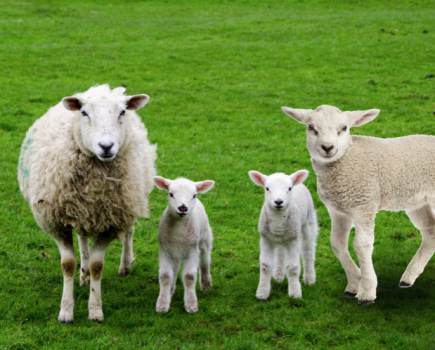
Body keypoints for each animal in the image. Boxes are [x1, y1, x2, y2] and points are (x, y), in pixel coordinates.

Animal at [17, 83, 157, 322]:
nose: (106, 146)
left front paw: (95, 310)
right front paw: (66, 310)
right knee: (82, 238)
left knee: (128, 232)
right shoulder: (57, 222)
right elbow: (67, 265)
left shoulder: (112, 222)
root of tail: (102, 88)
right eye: (84, 113)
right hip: (80, 211)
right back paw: (83, 275)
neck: (94, 187)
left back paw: (125, 265)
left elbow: (97, 265)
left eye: (122, 112)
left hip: (131, 201)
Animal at [153, 176, 215, 314]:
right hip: (175, 252)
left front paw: (191, 305)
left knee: (205, 261)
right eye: (171, 194)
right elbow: (166, 276)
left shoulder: (192, 251)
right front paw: (162, 304)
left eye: (194, 195)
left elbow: (189, 277)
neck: (179, 234)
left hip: (204, 239)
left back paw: (206, 284)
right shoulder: (165, 250)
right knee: (175, 268)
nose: (182, 208)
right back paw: (171, 290)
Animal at [249, 171, 320, 300]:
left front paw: (295, 293)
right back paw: (278, 275)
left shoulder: (293, 240)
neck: (278, 223)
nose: (278, 202)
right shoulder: (265, 239)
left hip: (308, 222)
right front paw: (262, 293)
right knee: (280, 251)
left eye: (289, 188)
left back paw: (309, 278)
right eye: (267, 188)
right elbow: (265, 266)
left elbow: (293, 268)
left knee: (308, 250)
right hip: (282, 238)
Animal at [282, 103, 435, 304]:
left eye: (344, 128)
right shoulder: (338, 209)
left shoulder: (364, 204)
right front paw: (354, 284)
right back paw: (408, 277)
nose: (327, 147)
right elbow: (337, 243)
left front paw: (367, 291)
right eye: (311, 127)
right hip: (417, 200)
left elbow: (361, 245)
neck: (347, 157)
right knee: (430, 230)